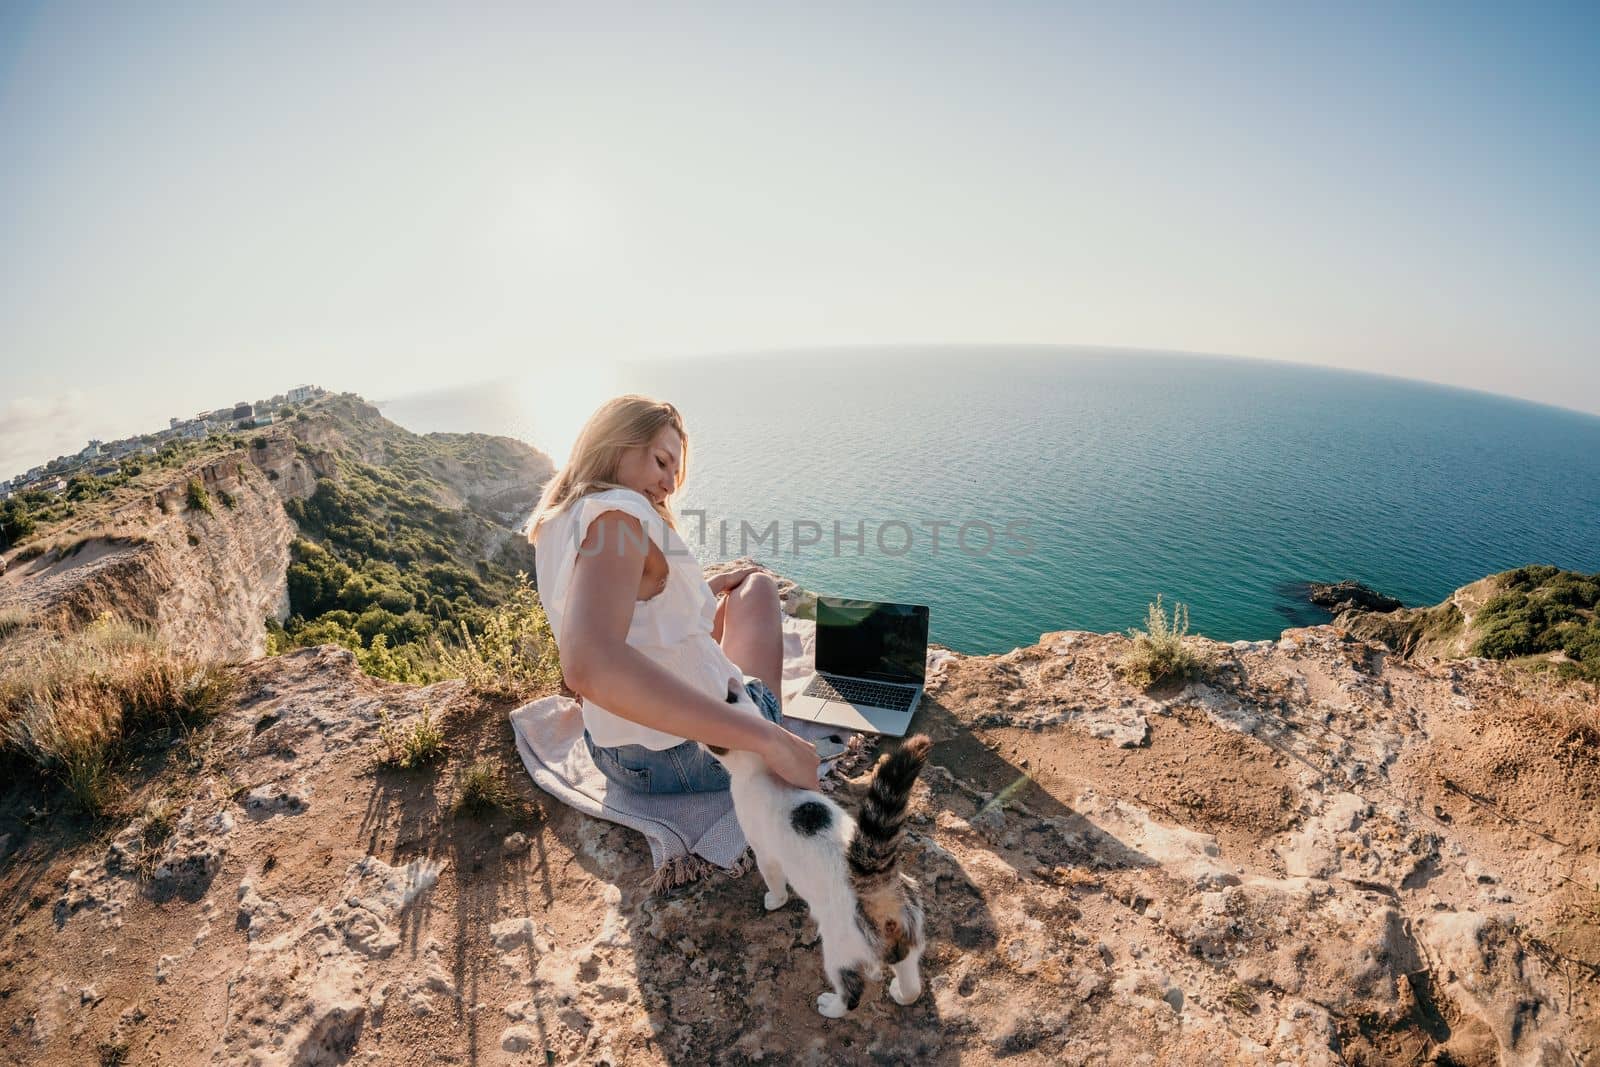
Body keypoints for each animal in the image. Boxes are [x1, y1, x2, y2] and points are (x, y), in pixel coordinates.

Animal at [707, 735, 934, 1017]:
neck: (762, 773)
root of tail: (879, 888)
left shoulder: (763, 851)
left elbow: (774, 880)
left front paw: (774, 900)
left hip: (839, 952)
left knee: (851, 994)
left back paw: (831, 1006)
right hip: (910, 940)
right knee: (911, 981)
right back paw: (901, 994)